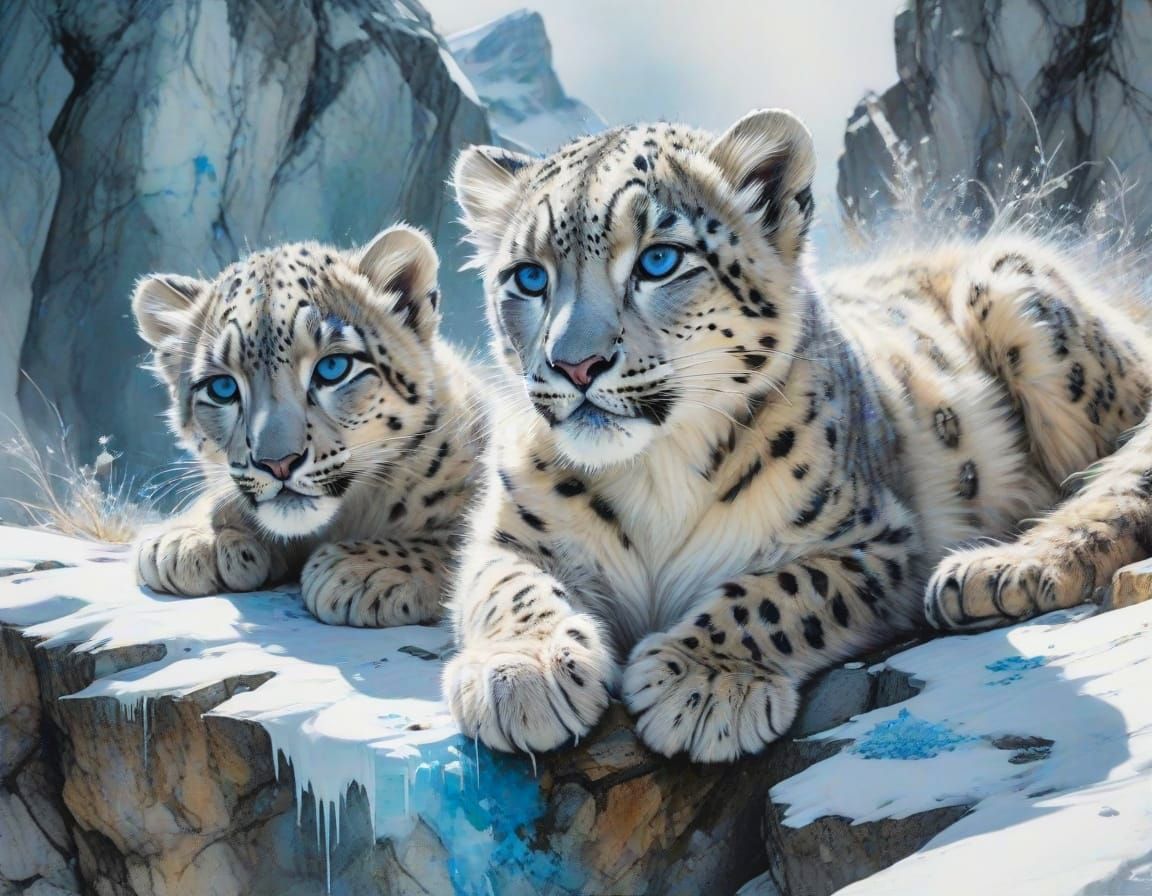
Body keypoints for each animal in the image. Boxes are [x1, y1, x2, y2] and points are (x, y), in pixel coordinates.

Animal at [131, 225, 484, 627]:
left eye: (333, 368)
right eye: (222, 388)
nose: (278, 463)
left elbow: (465, 536)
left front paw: (364, 569)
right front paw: (190, 539)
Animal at [440, 108, 1152, 762]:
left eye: (660, 260)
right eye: (529, 276)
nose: (575, 364)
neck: (653, 471)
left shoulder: (876, 540)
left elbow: (778, 596)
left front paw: (704, 684)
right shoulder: (510, 532)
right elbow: (510, 587)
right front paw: (522, 674)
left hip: (1012, 287)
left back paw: (998, 574)